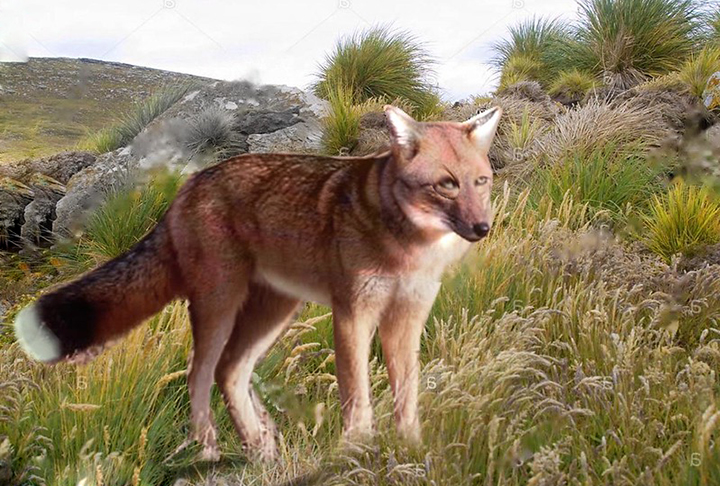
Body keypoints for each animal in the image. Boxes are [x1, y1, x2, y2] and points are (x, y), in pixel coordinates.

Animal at [14, 104, 502, 462]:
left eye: (481, 181)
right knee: (198, 375)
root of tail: (186, 187)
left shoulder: (407, 318)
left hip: (274, 313)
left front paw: (410, 448)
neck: (407, 248)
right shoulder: (353, 315)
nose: (483, 228)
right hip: (220, 307)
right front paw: (356, 451)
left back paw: (260, 448)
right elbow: (356, 393)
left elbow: (408, 394)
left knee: (230, 372)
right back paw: (210, 452)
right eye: (446, 185)